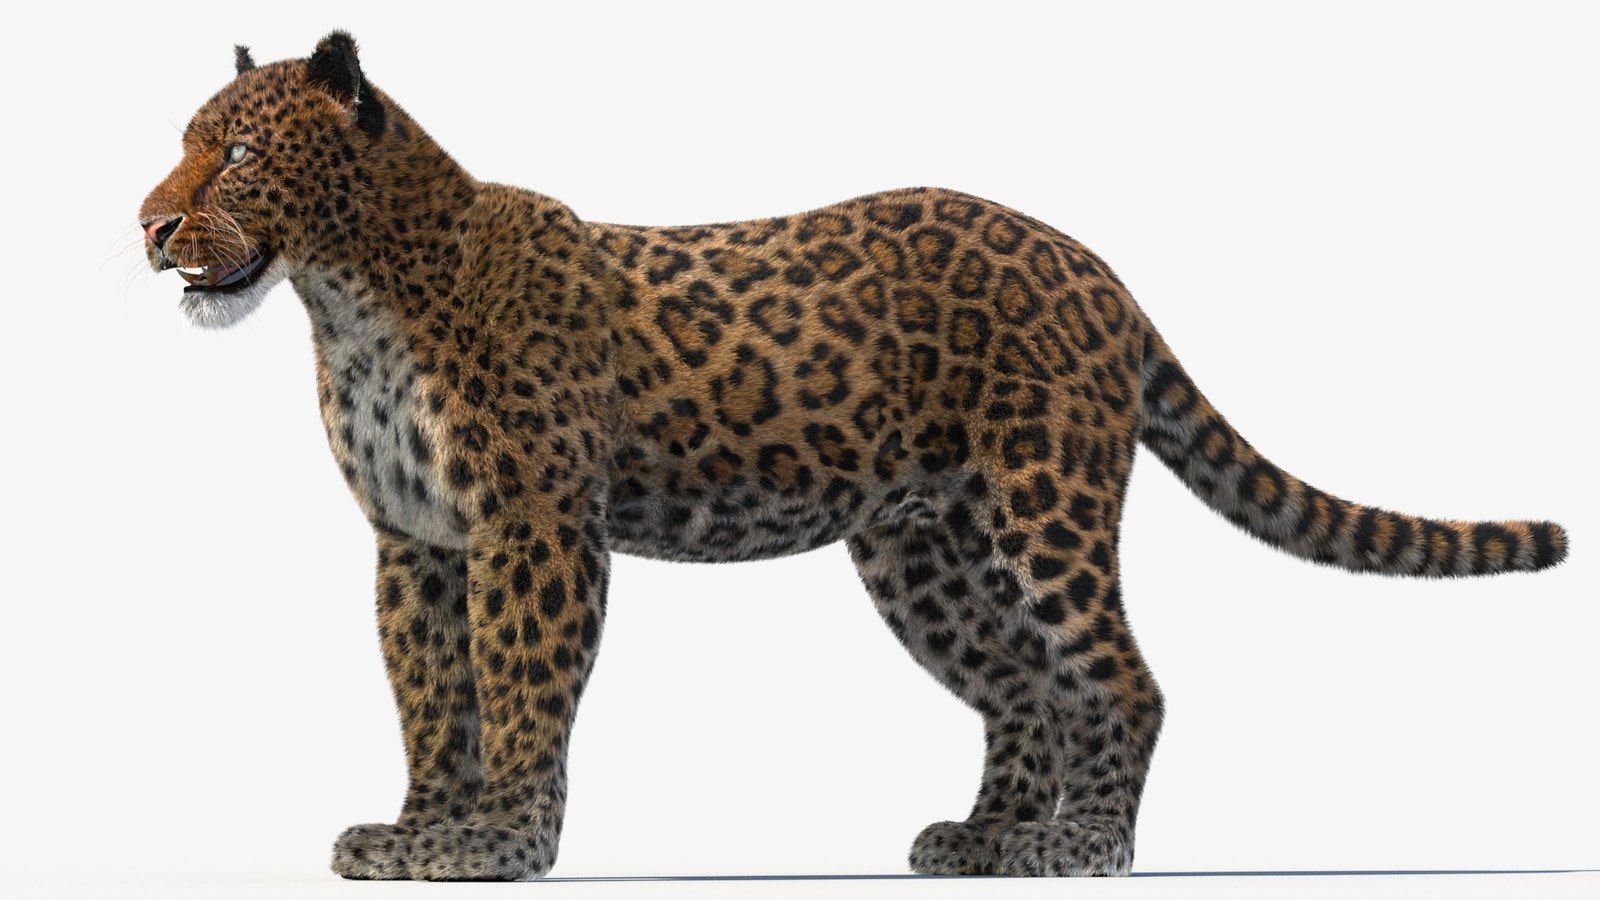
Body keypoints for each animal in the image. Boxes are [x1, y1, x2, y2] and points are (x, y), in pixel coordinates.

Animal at [139, 32, 1568, 880]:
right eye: (187, 143)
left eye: (241, 150)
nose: (150, 225)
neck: (351, 296)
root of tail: (1091, 263)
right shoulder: (414, 542)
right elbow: (432, 693)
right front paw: (422, 826)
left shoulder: (532, 524)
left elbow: (522, 680)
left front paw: (501, 843)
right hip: (921, 549)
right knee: (1023, 687)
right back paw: (988, 839)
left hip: (1045, 503)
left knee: (1117, 677)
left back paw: (1087, 845)